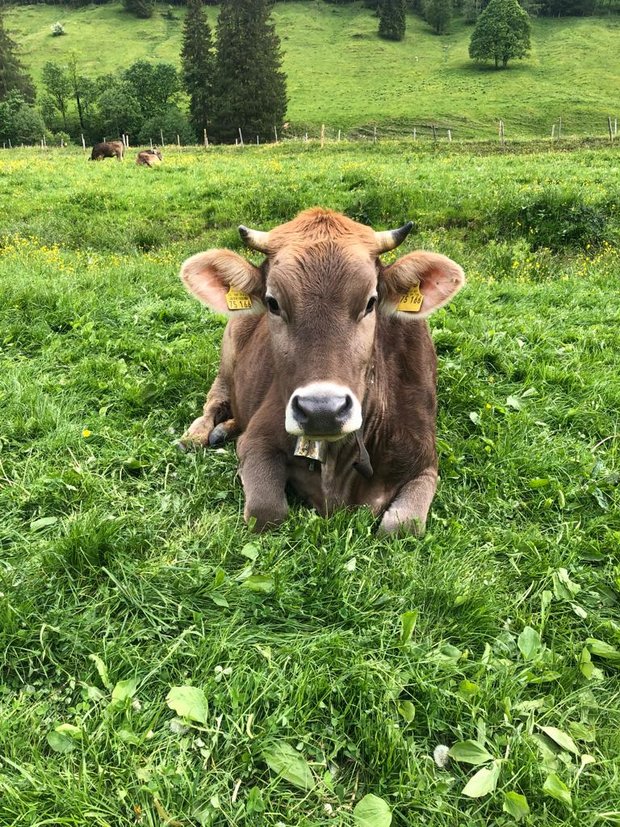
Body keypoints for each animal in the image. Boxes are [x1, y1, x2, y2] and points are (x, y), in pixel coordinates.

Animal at [179, 208, 465, 535]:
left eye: (371, 302)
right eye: (272, 303)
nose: (322, 411)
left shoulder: (425, 464)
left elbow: (401, 528)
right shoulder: (257, 441)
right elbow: (267, 511)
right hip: (229, 351)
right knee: (216, 397)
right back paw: (198, 434)